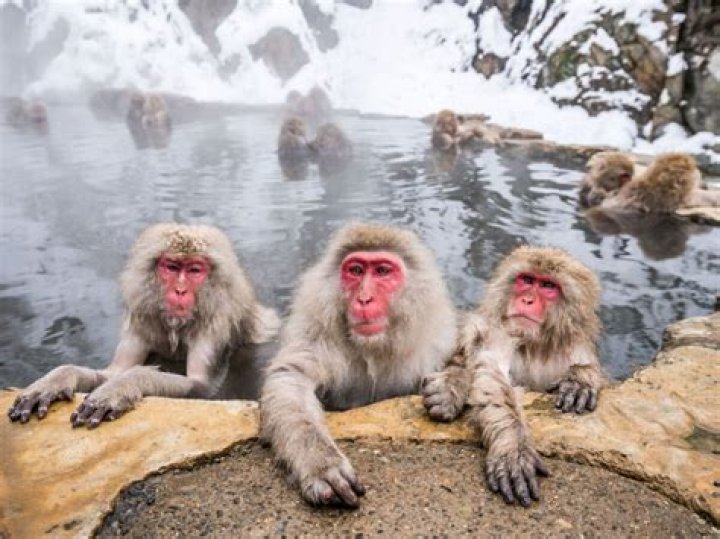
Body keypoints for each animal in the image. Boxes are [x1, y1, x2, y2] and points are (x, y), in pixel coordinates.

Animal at [8, 223, 280, 428]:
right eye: (172, 267)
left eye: (194, 270)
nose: (180, 291)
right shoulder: (142, 319)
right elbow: (112, 372)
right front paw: (56, 379)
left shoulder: (215, 325)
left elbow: (205, 389)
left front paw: (122, 386)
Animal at [260, 223, 457, 508]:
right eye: (355, 270)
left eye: (383, 271)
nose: (364, 299)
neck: (373, 348)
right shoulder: (317, 336)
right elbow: (291, 377)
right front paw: (321, 463)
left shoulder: (437, 342)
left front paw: (450, 389)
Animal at [422, 246, 606, 507]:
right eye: (527, 280)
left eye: (548, 286)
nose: (527, 299)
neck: (535, 345)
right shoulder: (501, 334)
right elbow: (492, 375)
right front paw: (514, 448)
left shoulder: (575, 345)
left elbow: (586, 366)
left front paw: (580, 380)